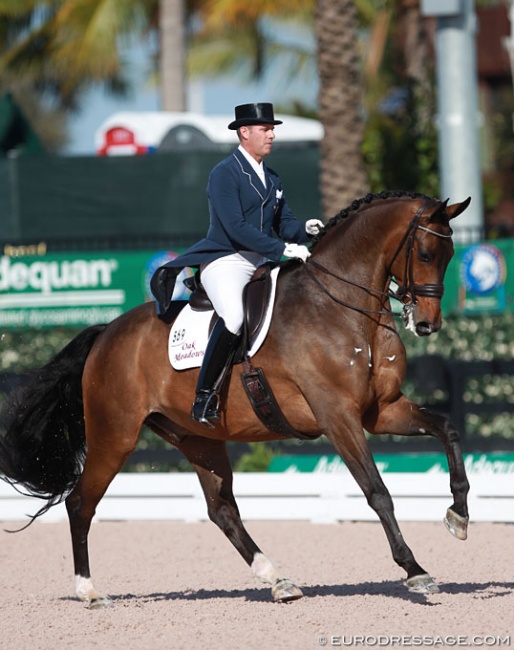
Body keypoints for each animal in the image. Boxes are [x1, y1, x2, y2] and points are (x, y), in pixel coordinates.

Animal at [0, 189, 470, 608]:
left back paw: (278, 580)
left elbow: (447, 429)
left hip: (197, 439)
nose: (427, 324)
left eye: (448, 256)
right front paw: (415, 571)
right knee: (81, 502)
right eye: (425, 254)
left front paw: (459, 516)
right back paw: (90, 592)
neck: (342, 307)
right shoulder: (338, 417)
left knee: (221, 509)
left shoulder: (380, 410)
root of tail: (105, 334)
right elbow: (377, 491)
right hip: (114, 436)